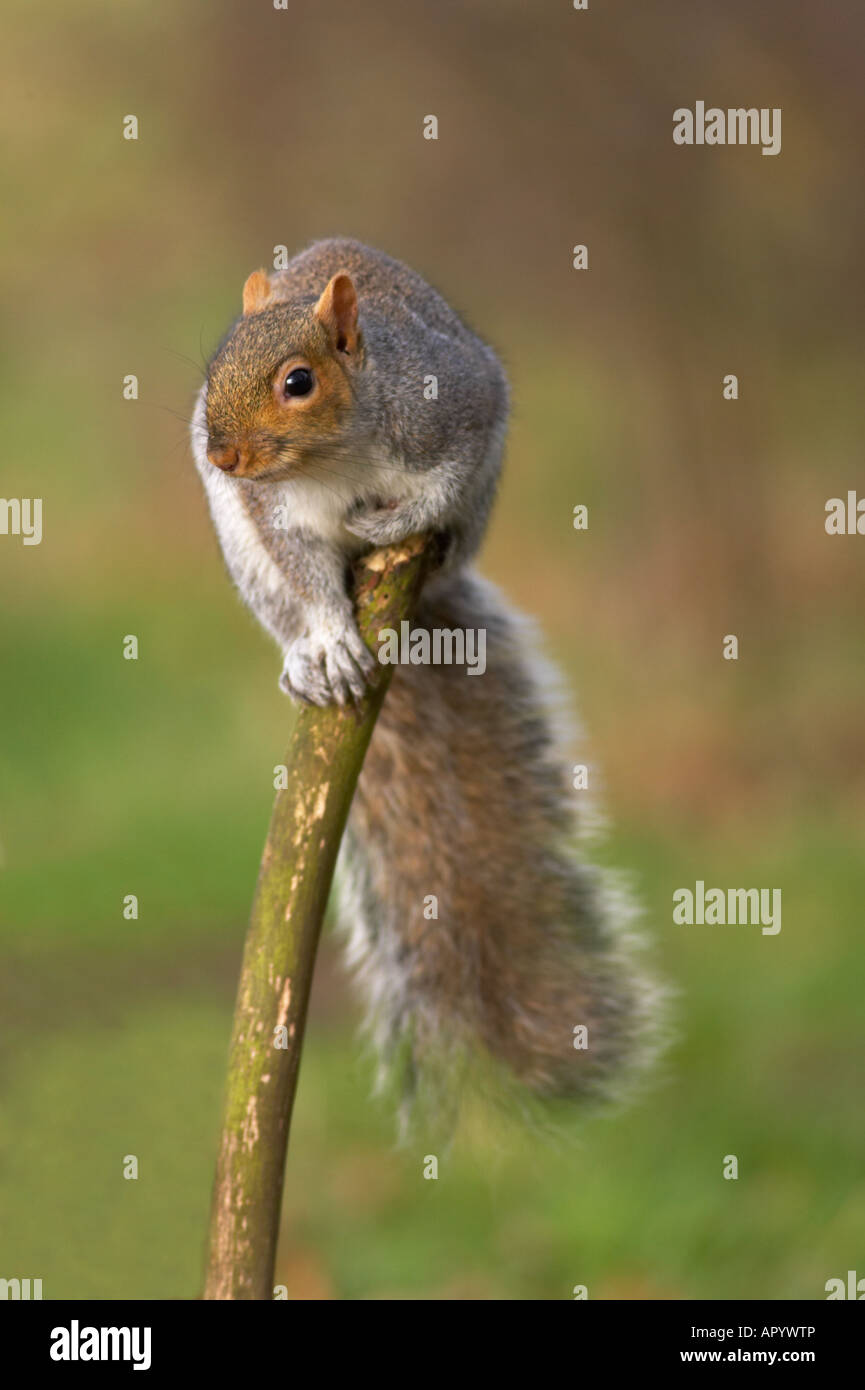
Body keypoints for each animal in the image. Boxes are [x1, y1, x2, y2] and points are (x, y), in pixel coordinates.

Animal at [191, 239, 664, 1128]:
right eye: (211, 371)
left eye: (298, 382)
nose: (221, 455)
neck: (336, 454)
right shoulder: (271, 516)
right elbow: (307, 579)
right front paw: (329, 637)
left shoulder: (453, 410)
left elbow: (442, 477)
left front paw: (398, 518)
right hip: (240, 545)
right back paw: (306, 659)